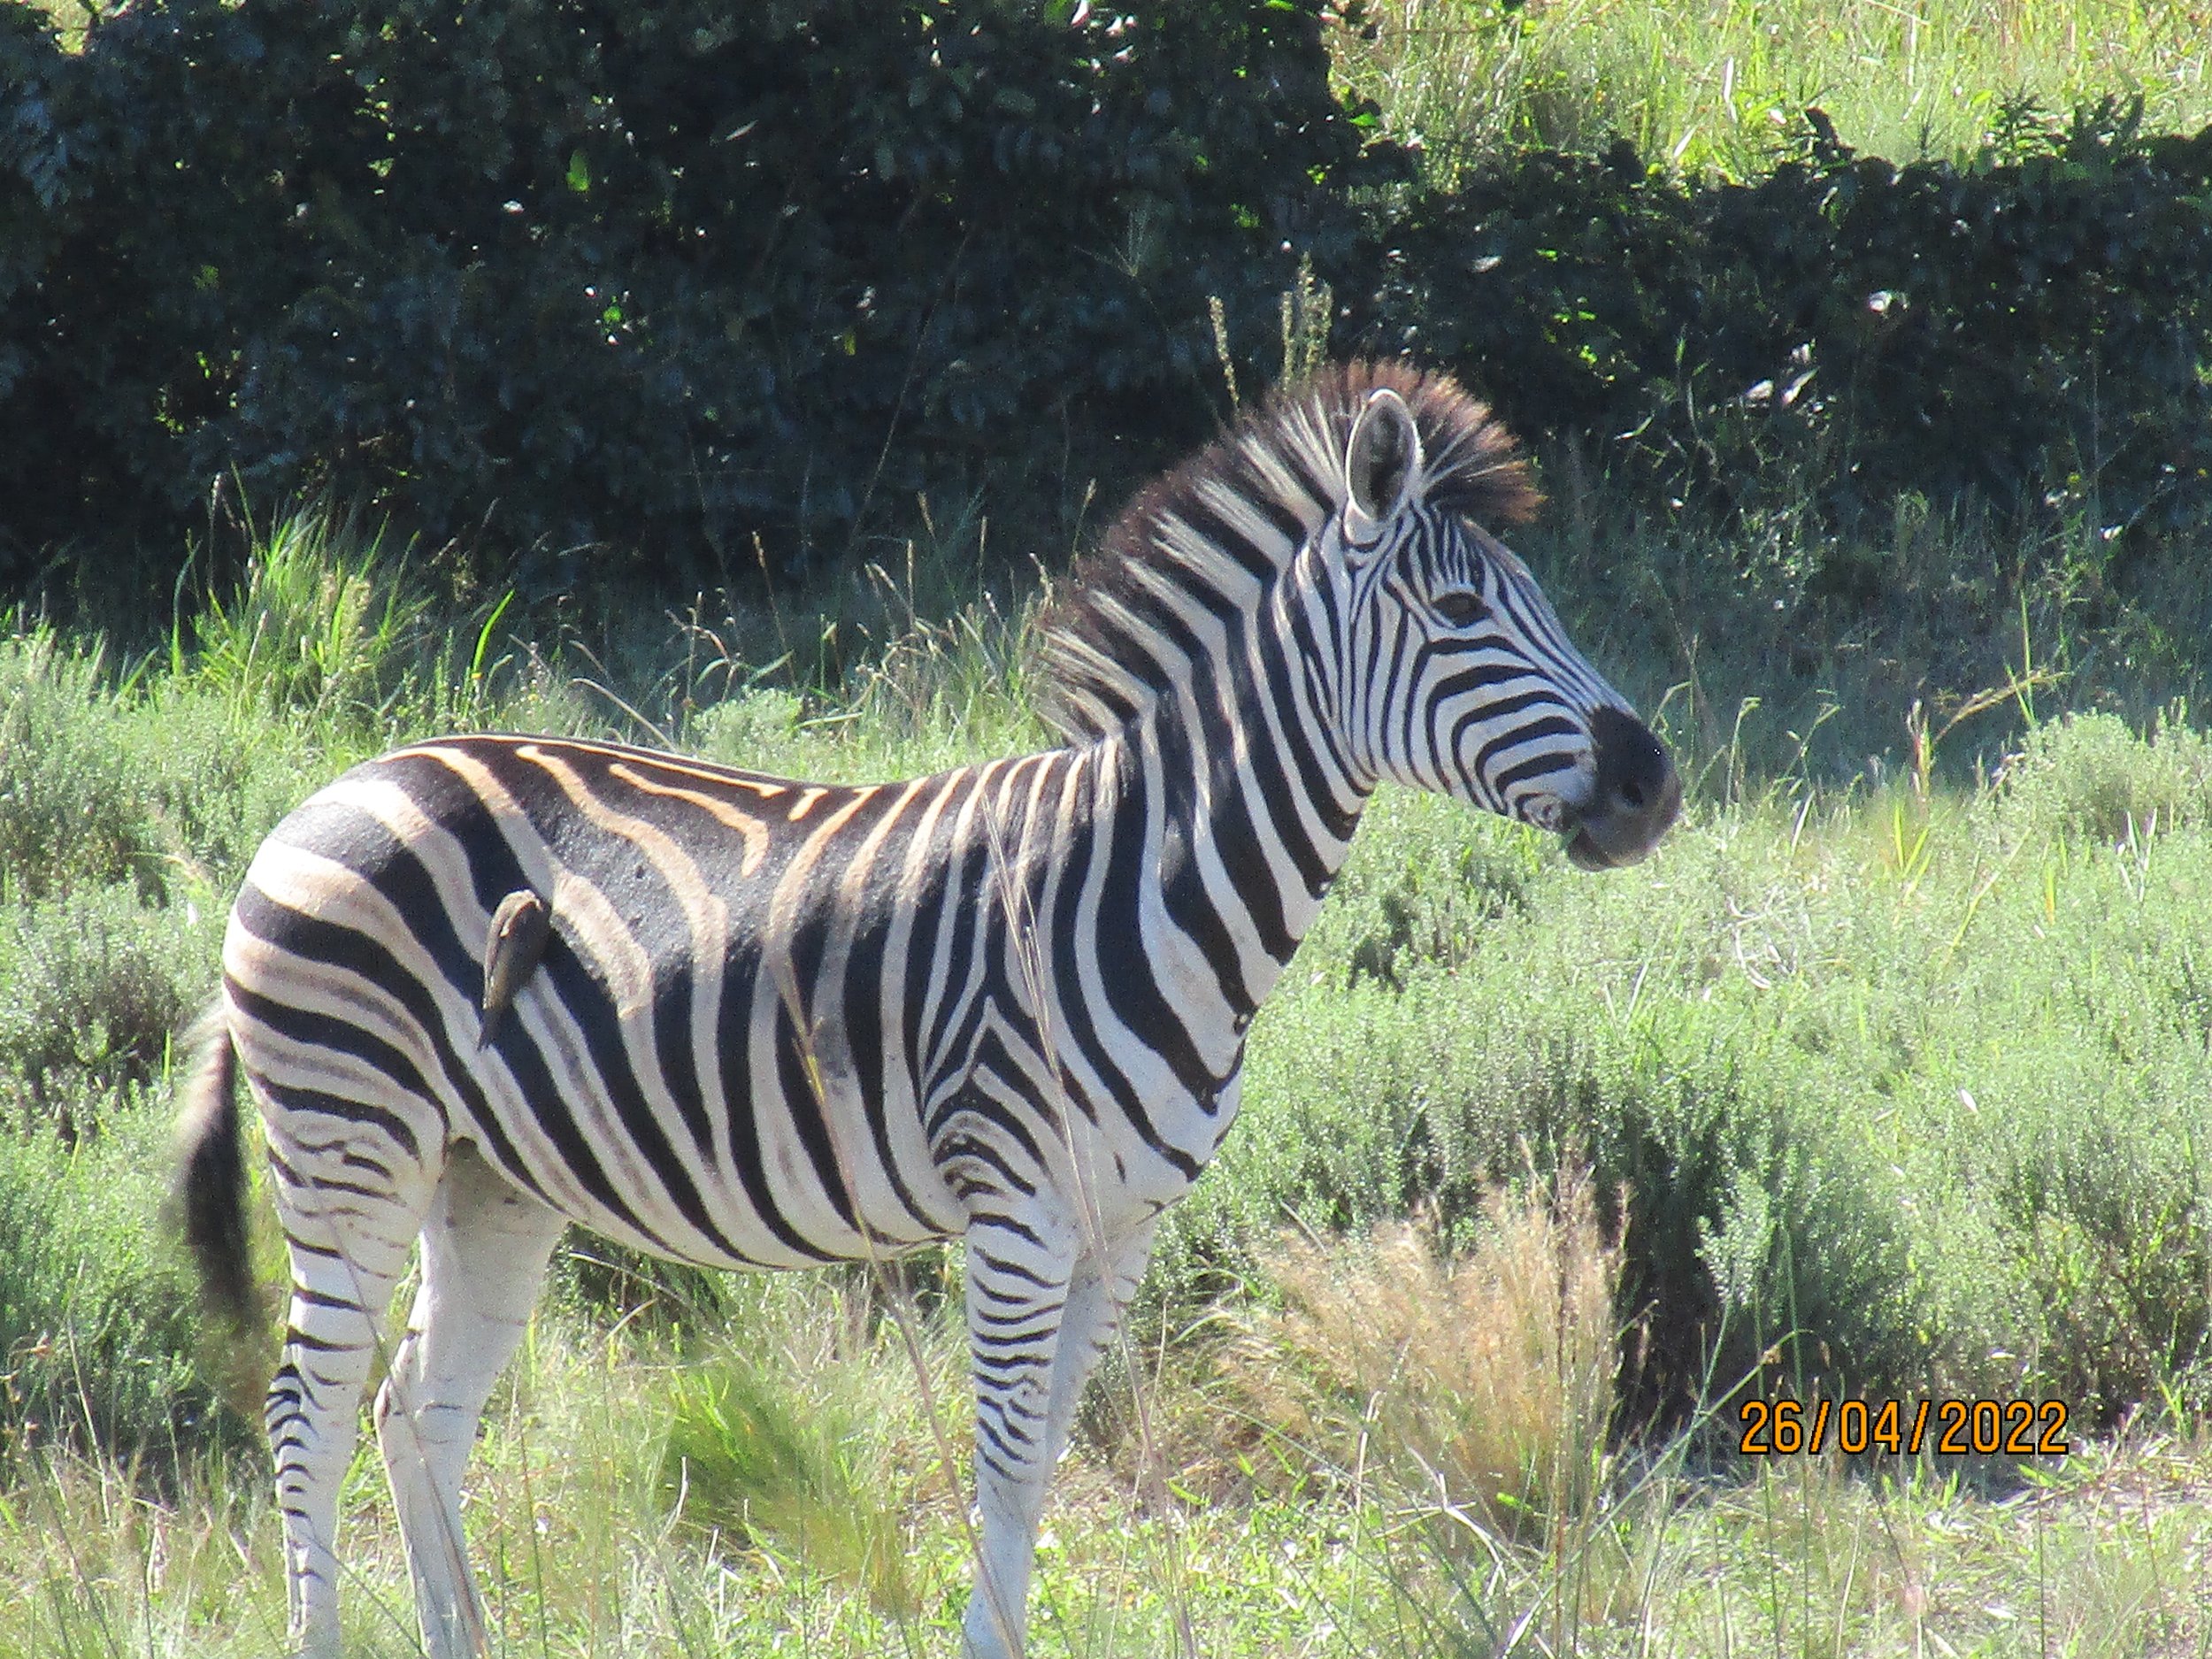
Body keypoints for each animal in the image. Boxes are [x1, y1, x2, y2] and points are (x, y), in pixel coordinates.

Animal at [174, 360, 1680, 1659]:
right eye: (1460, 617)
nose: (1653, 783)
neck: (1137, 886)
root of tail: (323, 792)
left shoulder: (1122, 1225)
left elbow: (1048, 1458)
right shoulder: (1015, 1205)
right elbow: (1005, 1463)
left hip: (490, 1170)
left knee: (420, 1409)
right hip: (352, 1136)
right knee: (311, 1407)